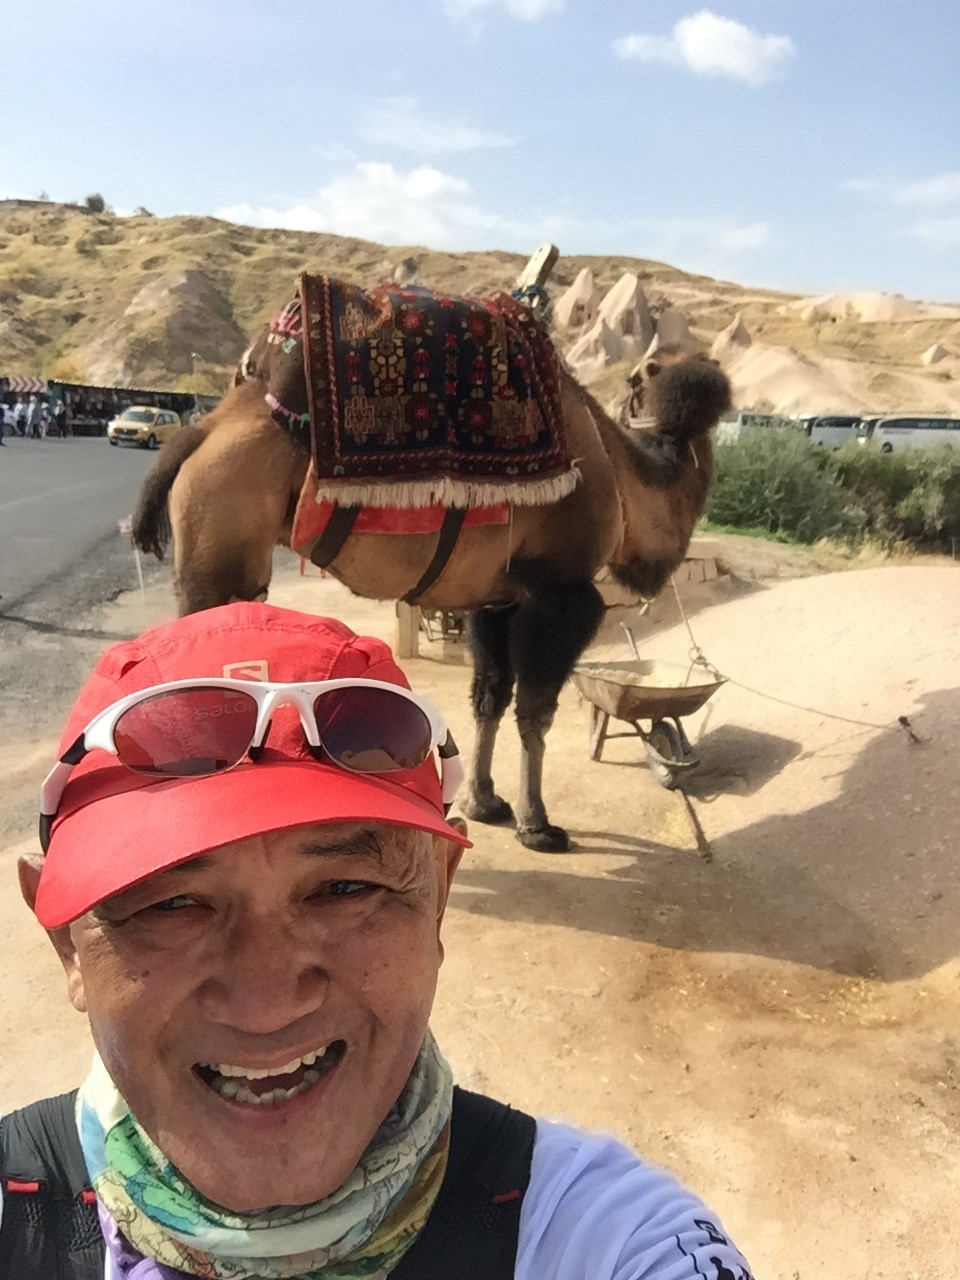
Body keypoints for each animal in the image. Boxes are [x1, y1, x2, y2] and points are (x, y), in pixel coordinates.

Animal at [133, 325, 730, 853]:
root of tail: (200, 432)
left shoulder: (498, 598)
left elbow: (490, 695)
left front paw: (483, 803)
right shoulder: (562, 595)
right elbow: (535, 712)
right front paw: (538, 826)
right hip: (220, 552)